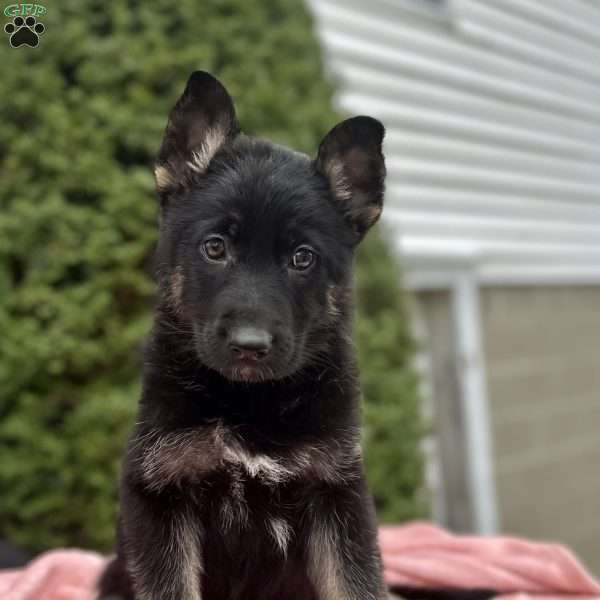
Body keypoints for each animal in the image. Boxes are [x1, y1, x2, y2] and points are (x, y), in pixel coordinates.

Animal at [97, 71, 390, 600]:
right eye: (215, 247)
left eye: (302, 257)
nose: (249, 347)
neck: (249, 401)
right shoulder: (160, 495)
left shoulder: (337, 496)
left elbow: (356, 584)